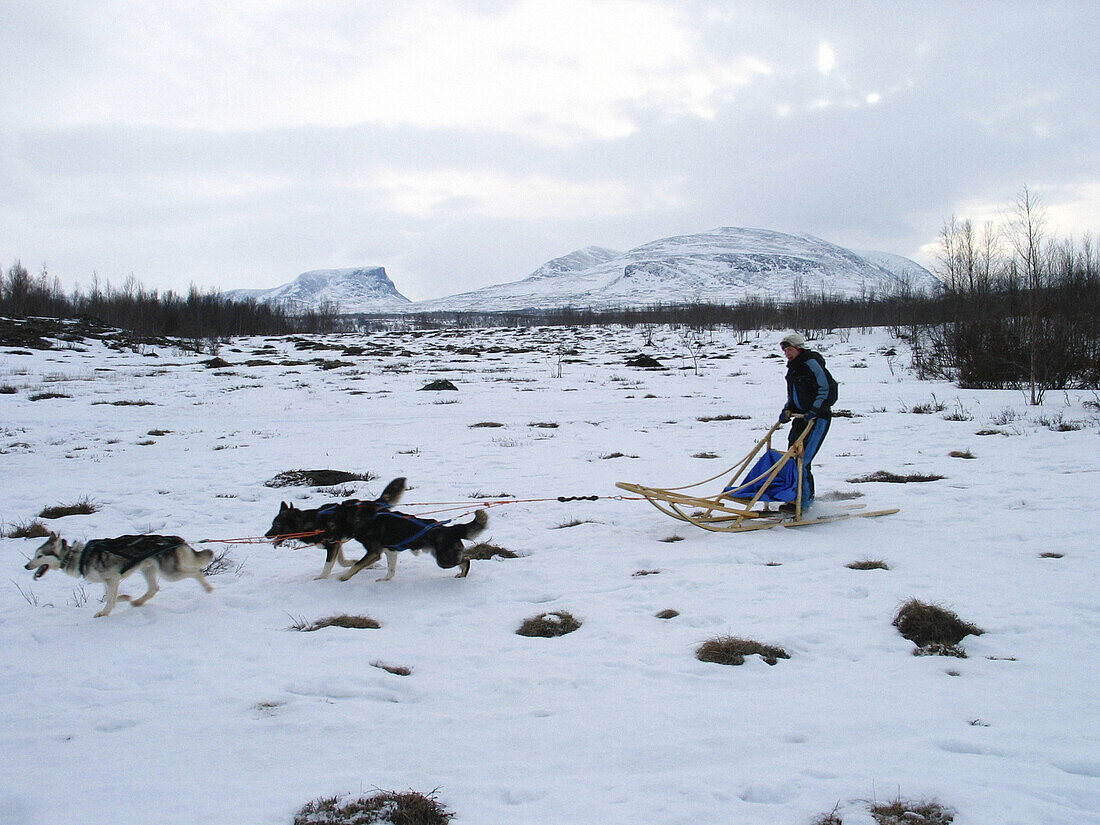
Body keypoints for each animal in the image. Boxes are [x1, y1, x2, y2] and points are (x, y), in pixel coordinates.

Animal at [24, 532, 213, 616]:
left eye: (40, 556)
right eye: (35, 554)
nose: (26, 566)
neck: (78, 557)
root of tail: (175, 539)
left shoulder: (112, 577)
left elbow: (109, 599)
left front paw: (104, 613)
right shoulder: (109, 581)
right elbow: (111, 596)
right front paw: (125, 598)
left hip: (170, 573)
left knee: (195, 572)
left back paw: (208, 588)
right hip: (148, 569)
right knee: (153, 588)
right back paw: (137, 602)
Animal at [266, 477, 409, 580]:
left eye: (276, 525)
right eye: (272, 524)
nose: (266, 535)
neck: (311, 523)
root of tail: (376, 503)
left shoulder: (332, 545)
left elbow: (328, 564)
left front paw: (322, 577)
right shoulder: (337, 543)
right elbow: (341, 561)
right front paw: (354, 562)